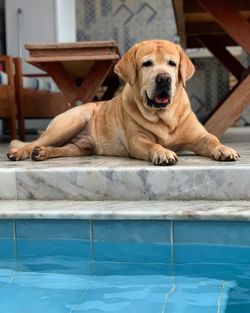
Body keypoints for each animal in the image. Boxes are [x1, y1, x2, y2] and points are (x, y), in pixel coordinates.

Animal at [6, 40, 239, 165]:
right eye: (147, 64)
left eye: (172, 63)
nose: (164, 78)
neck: (164, 117)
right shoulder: (138, 141)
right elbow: (153, 143)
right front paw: (163, 151)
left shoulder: (199, 136)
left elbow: (212, 139)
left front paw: (224, 149)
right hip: (72, 121)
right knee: (34, 142)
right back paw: (20, 152)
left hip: (80, 147)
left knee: (62, 148)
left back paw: (43, 153)